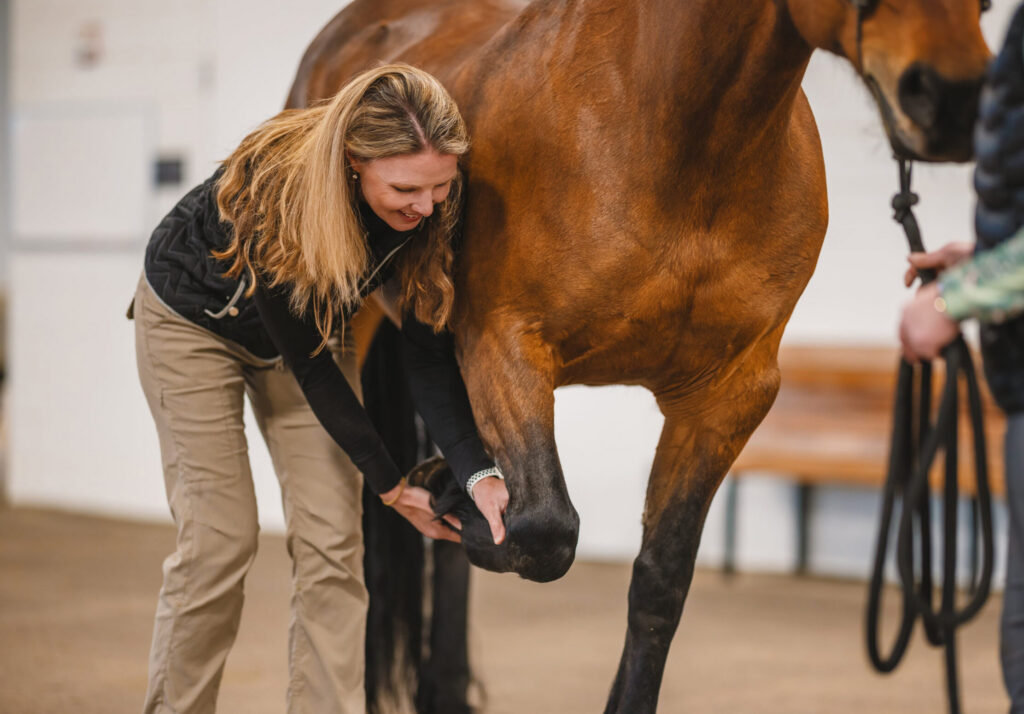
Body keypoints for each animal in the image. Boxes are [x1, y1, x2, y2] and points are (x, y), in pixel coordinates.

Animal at [287, 0, 991, 711]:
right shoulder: (505, 349)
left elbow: (659, 583)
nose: (956, 100)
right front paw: (446, 493)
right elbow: (544, 529)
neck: (665, 135)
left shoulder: (727, 396)